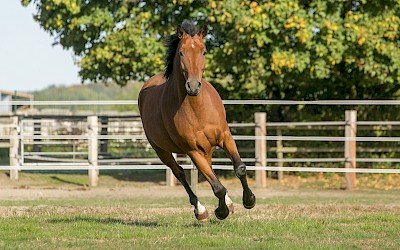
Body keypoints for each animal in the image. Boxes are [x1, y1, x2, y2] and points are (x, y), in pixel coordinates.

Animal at [139, 20, 255, 221]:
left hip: (207, 147)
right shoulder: (192, 150)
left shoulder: (225, 137)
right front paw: (220, 211)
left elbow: (239, 168)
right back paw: (200, 210)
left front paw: (249, 200)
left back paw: (230, 203)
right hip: (161, 150)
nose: (193, 86)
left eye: (204, 51)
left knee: (208, 168)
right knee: (179, 172)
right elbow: (217, 187)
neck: (197, 108)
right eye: (181, 52)